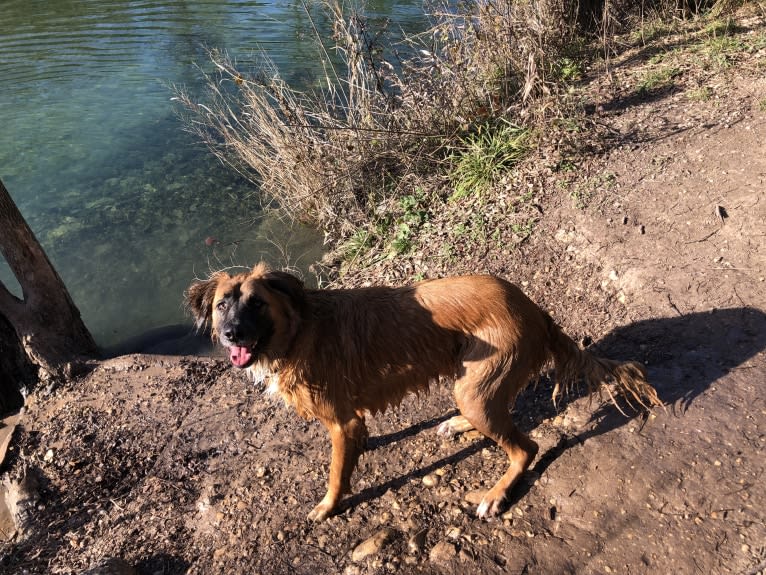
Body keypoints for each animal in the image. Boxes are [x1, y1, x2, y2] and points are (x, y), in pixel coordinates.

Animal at [186, 264, 660, 520]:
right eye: (222, 305)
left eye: (257, 303)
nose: (231, 334)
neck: (297, 330)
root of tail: (532, 308)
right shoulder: (351, 421)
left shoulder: (341, 420)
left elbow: (337, 473)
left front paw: (328, 505)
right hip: (471, 385)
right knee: (503, 424)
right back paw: (459, 426)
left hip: (476, 387)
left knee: (525, 447)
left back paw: (494, 495)